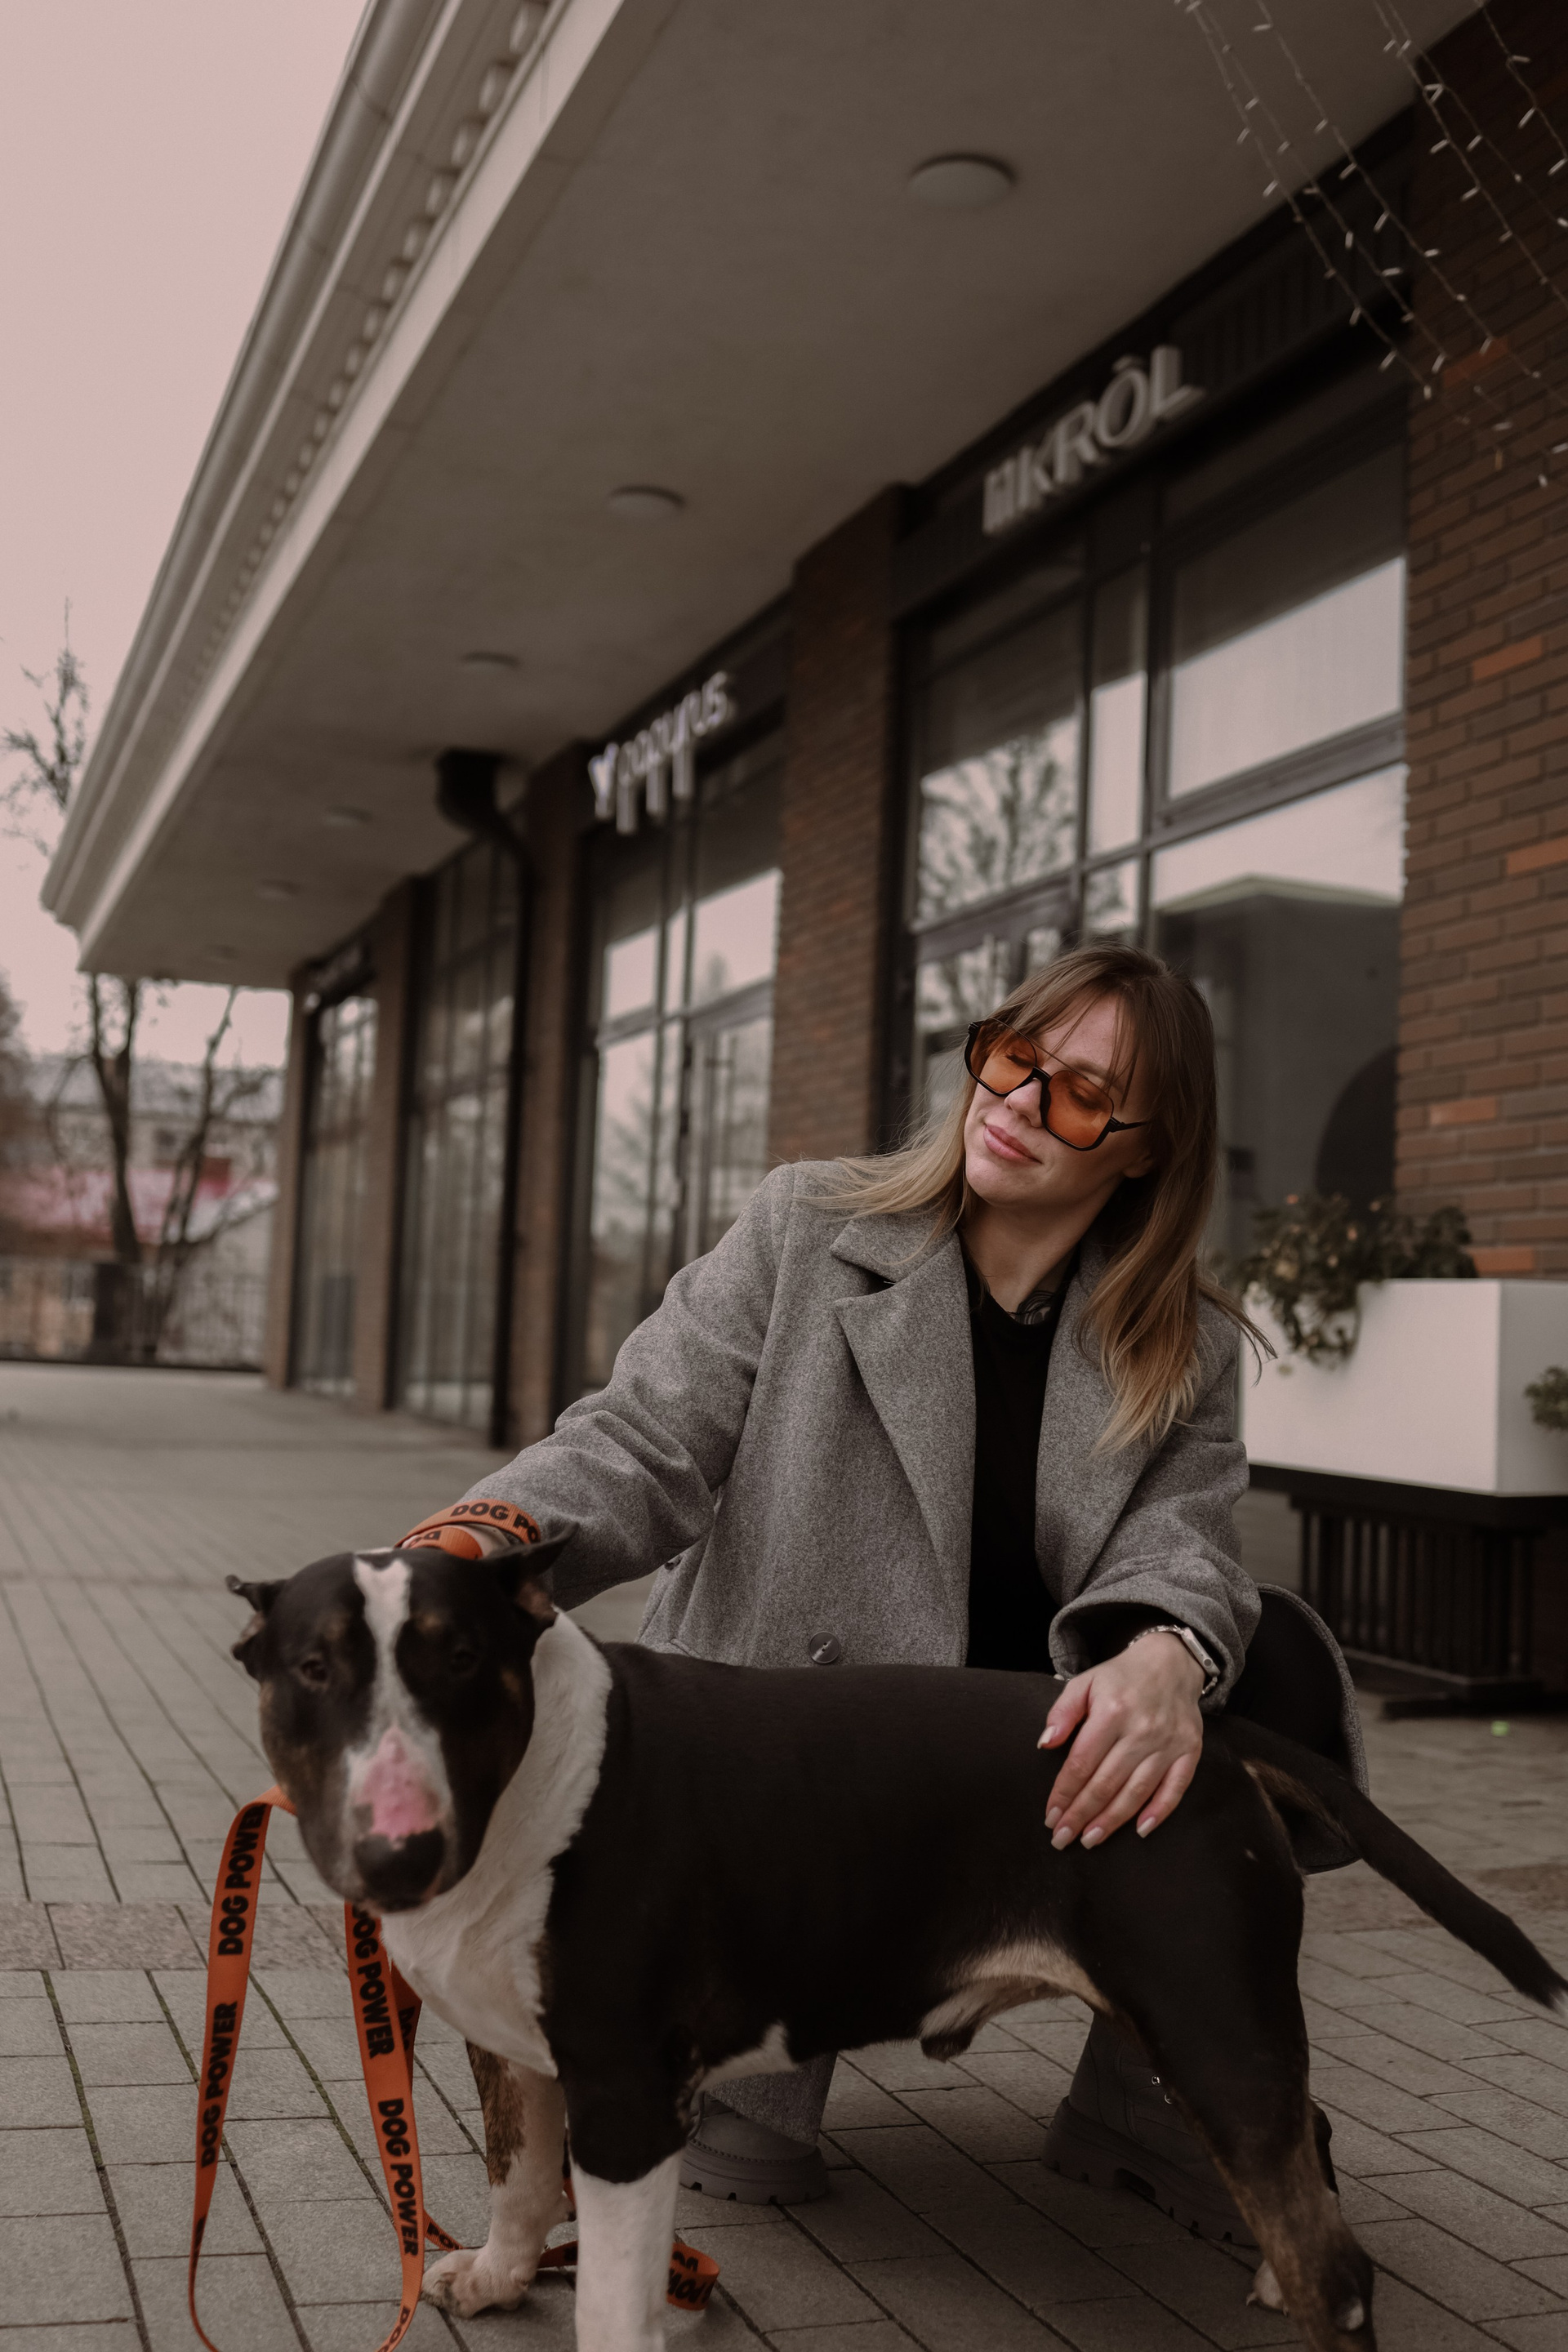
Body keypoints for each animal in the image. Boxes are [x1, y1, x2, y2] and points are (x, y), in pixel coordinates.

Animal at [229, 1542, 1568, 2352]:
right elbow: (516, 2168)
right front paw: (500, 2277)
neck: (532, 1789)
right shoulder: (523, 2047)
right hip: (1207, 2019)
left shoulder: (627, 2092)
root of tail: (1207, 1734)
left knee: (1334, 2258)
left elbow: (611, 2289)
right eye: (313, 1668)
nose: (397, 1855)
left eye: (461, 1659)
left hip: (1206, 2015)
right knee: (1305, 2158)